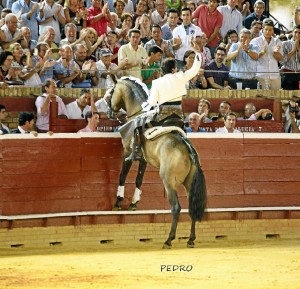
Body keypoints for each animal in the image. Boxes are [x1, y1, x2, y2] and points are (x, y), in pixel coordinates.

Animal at [107, 77, 206, 248]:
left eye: (112, 91)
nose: (110, 112)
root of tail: (189, 150)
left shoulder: (127, 152)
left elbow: (123, 175)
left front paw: (118, 203)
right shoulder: (143, 160)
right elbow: (139, 179)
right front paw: (134, 203)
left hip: (169, 182)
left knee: (176, 207)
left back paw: (169, 240)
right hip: (189, 183)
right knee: (192, 206)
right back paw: (191, 239)